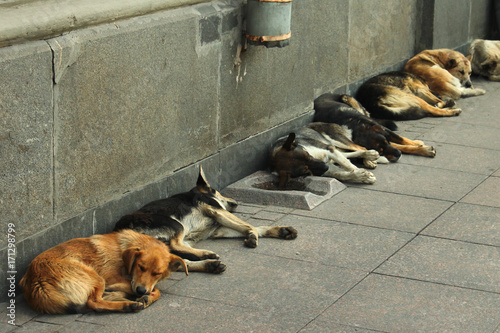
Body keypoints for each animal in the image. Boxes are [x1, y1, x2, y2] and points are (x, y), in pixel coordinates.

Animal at [19, 230, 188, 312]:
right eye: (141, 267)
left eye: (156, 273)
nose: (140, 291)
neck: (123, 251)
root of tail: (36, 280)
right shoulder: (112, 279)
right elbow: (155, 289)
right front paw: (146, 296)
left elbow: (153, 288)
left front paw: (146, 297)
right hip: (95, 276)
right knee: (93, 303)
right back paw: (126, 305)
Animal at [114, 167, 296, 272]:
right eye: (215, 190)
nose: (235, 202)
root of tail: (120, 229)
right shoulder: (216, 210)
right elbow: (249, 225)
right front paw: (253, 236)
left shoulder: (218, 228)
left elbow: (252, 227)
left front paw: (280, 230)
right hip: (176, 225)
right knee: (176, 245)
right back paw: (205, 254)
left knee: (180, 262)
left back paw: (208, 264)